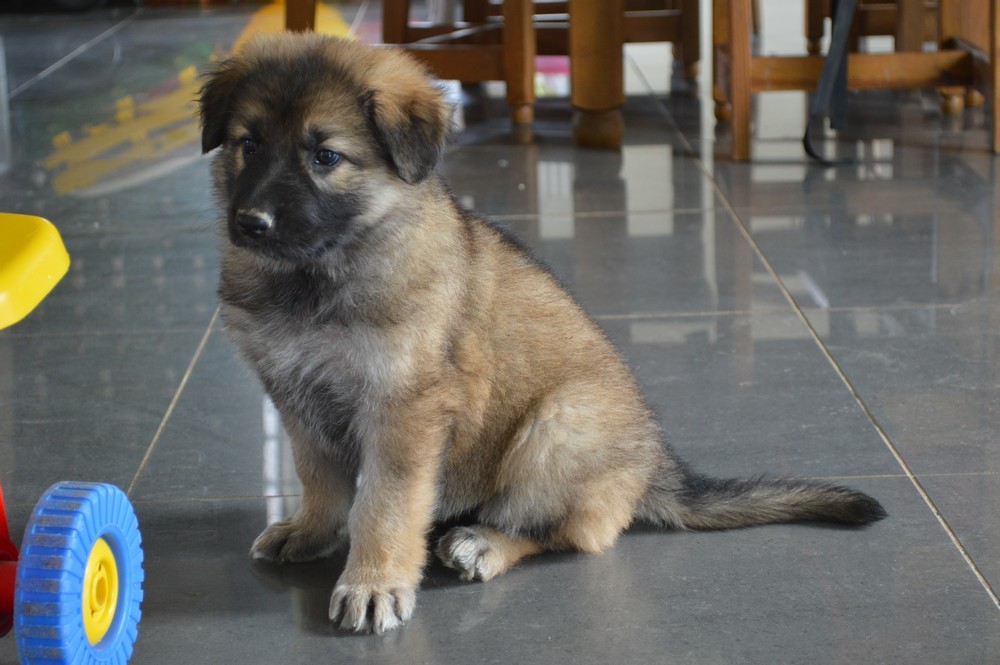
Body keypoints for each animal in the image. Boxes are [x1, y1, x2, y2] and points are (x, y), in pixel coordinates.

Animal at [199, 33, 886, 635]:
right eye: (247, 144)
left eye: (325, 157)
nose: (251, 223)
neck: (318, 274)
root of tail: (654, 469)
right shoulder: (295, 392)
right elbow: (318, 475)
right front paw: (311, 531)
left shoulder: (404, 407)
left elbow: (384, 504)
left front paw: (373, 582)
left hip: (559, 424)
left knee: (570, 533)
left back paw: (483, 544)